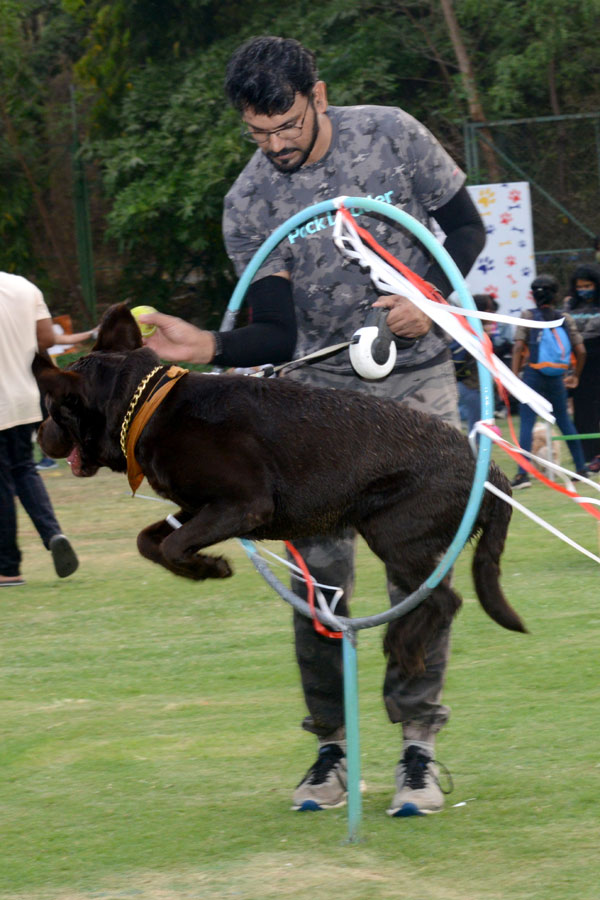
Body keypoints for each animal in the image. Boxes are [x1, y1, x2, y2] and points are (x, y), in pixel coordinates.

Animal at [34, 306, 524, 672]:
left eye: (52, 409)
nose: (37, 434)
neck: (147, 408)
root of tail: (489, 470)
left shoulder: (243, 505)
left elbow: (173, 545)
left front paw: (209, 567)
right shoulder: (198, 508)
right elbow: (149, 541)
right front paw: (203, 566)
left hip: (393, 533)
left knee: (444, 599)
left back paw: (401, 645)